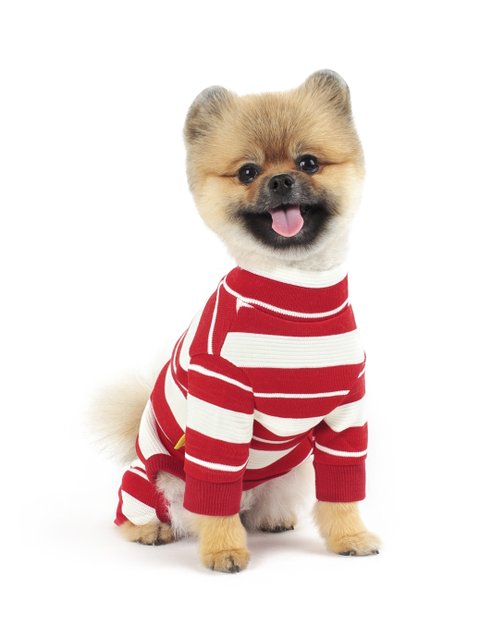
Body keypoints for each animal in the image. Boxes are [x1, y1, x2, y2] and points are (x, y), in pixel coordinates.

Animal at [97, 70, 380, 572]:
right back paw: (150, 528)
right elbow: (216, 492)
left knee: (256, 504)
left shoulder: (346, 413)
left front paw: (350, 537)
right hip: (151, 478)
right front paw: (223, 550)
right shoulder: (221, 406)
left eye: (308, 163)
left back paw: (270, 517)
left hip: (288, 469)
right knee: (149, 505)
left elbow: (342, 488)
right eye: (248, 172)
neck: (297, 293)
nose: (281, 180)